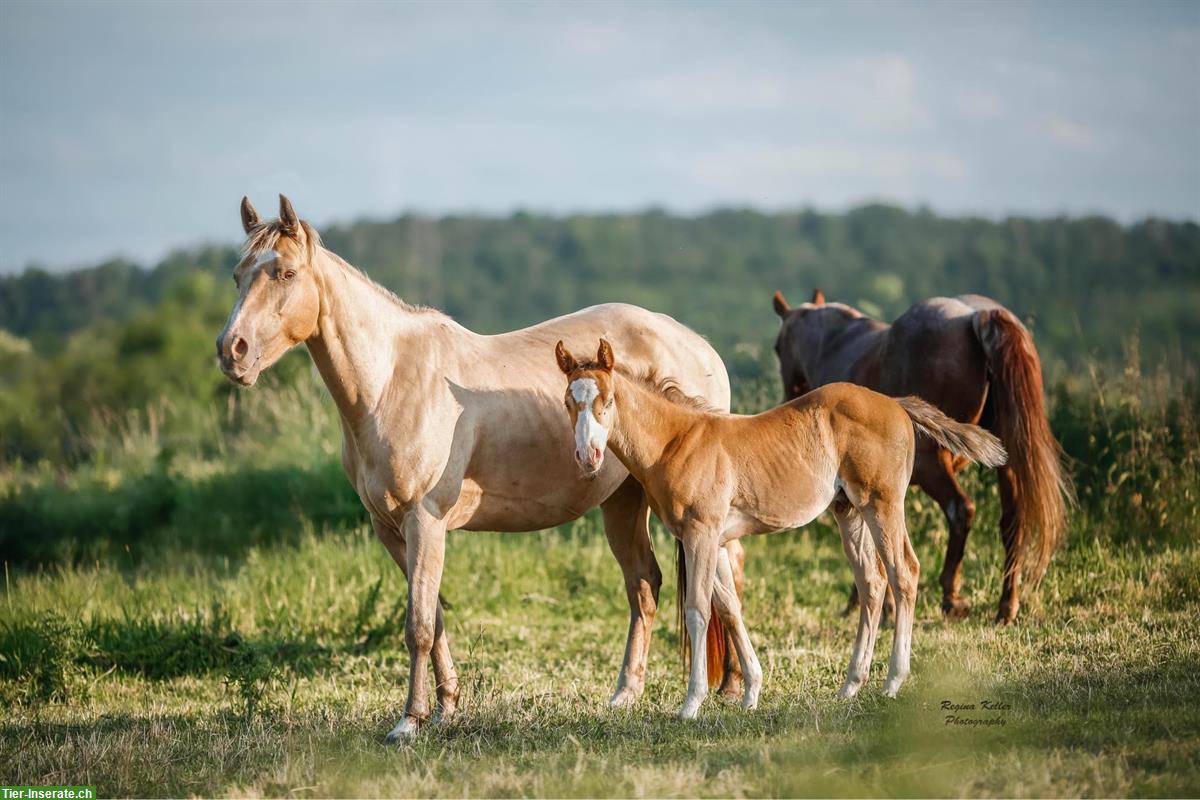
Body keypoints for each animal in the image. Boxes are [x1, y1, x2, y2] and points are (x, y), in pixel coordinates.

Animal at [214, 195, 739, 743]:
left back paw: (731, 691)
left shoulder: (424, 521)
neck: (392, 381)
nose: (232, 351)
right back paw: (629, 696)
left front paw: (408, 722)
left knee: (720, 588)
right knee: (646, 586)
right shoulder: (391, 530)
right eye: (237, 275)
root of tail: (698, 345)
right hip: (624, 501)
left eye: (286, 273)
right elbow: (434, 617)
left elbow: (418, 625)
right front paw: (445, 707)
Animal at [556, 340, 1008, 719]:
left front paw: (691, 704)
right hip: (850, 511)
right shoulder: (714, 539)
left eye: (607, 400)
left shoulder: (701, 533)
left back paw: (893, 682)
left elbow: (698, 609)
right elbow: (730, 608)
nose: (587, 456)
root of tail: (895, 403)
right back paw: (851, 686)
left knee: (904, 574)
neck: (676, 441)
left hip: (882, 503)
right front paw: (752, 693)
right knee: (873, 583)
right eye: (567, 402)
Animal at [772, 289, 1075, 623]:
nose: (789, 399)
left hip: (933, 466)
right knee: (1012, 522)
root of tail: (980, 315)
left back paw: (951, 596)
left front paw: (879, 607)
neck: (839, 346)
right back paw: (1006, 606)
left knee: (961, 509)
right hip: (1006, 462)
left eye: (777, 347)